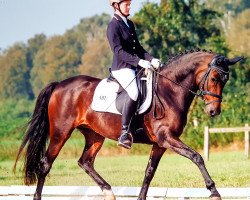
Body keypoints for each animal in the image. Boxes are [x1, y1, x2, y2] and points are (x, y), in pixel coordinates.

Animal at [13, 48, 242, 200]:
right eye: (214, 78)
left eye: (225, 80)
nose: (213, 111)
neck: (170, 91)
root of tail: (60, 84)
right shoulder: (167, 138)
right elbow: (197, 157)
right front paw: (213, 191)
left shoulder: (161, 143)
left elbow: (149, 172)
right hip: (61, 132)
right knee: (46, 164)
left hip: (95, 135)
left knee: (85, 162)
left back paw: (108, 192)